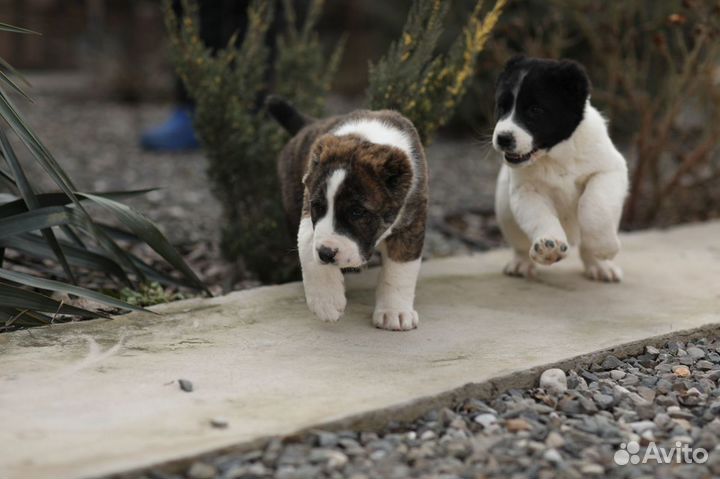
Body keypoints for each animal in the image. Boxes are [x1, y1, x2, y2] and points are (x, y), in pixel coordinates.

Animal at [268, 96, 428, 332]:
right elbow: (307, 244)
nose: (326, 254)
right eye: (318, 206)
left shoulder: (412, 220)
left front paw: (394, 312)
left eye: (357, 212)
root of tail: (307, 125)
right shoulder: (307, 209)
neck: (367, 137)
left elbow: (400, 269)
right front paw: (326, 302)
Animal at [492, 56, 628, 282]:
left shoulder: (610, 170)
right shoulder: (526, 191)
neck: (555, 156)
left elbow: (593, 204)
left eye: (535, 110)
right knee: (520, 245)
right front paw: (549, 246)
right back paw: (522, 263)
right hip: (504, 207)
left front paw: (604, 247)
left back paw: (600, 264)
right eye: (501, 108)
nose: (503, 138)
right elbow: (540, 216)